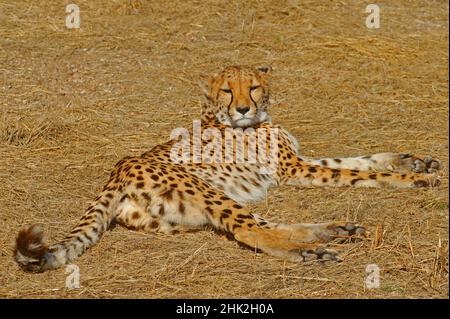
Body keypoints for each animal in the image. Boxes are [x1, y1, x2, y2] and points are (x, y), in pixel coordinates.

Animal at [14, 65, 440, 272]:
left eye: (252, 87)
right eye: (226, 89)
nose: (243, 108)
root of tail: (119, 168)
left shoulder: (301, 164)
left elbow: (359, 160)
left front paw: (415, 160)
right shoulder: (296, 171)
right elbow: (363, 173)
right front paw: (415, 177)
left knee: (267, 226)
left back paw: (336, 232)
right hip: (207, 190)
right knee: (250, 231)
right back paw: (312, 254)